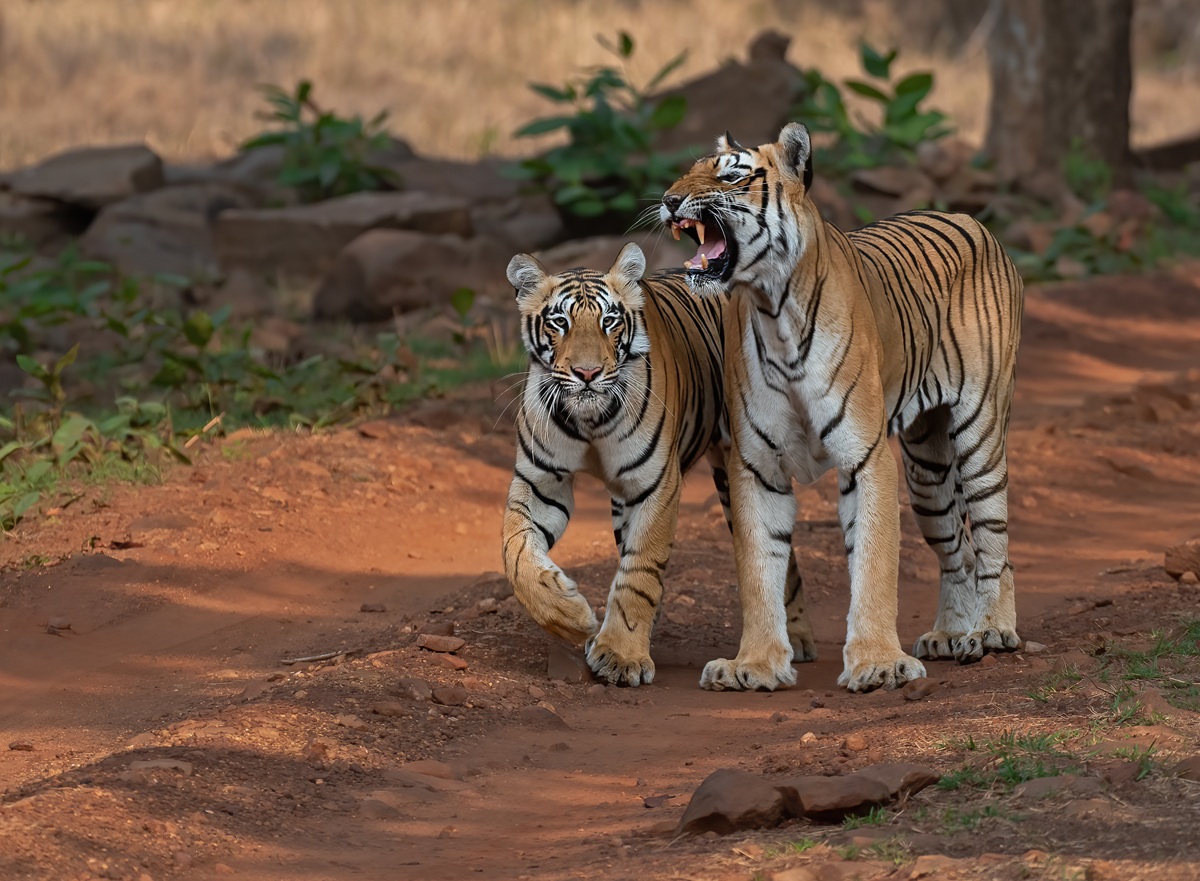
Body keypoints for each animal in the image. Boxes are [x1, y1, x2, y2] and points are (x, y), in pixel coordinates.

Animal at [502, 242, 817, 686]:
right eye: (560, 322)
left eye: (609, 321)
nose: (587, 373)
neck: (589, 420)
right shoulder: (540, 481)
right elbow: (516, 551)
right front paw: (568, 616)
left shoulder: (656, 485)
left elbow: (640, 571)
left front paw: (621, 655)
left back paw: (799, 638)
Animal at [659, 123, 1024, 693]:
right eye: (687, 172)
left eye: (732, 175)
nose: (670, 200)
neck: (774, 310)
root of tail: (970, 218)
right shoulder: (756, 466)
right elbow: (759, 568)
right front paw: (754, 665)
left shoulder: (865, 456)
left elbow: (873, 562)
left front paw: (878, 663)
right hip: (927, 471)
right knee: (957, 550)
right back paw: (949, 634)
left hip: (980, 434)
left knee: (993, 542)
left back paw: (990, 632)